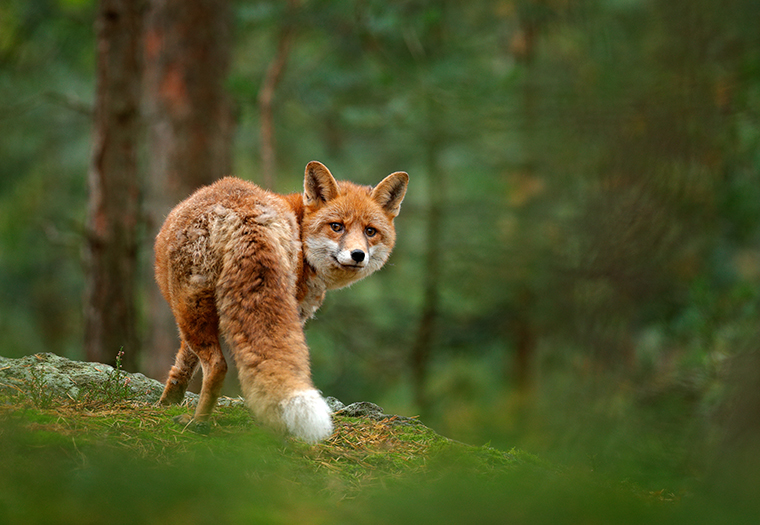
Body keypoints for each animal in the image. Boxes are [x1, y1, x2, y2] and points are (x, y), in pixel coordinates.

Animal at [154, 161, 410, 442]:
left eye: (370, 231)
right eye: (337, 227)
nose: (357, 254)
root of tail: (247, 216)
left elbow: (182, 364)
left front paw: (166, 404)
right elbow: (183, 365)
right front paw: (167, 403)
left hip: (189, 308)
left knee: (217, 366)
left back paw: (198, 422)